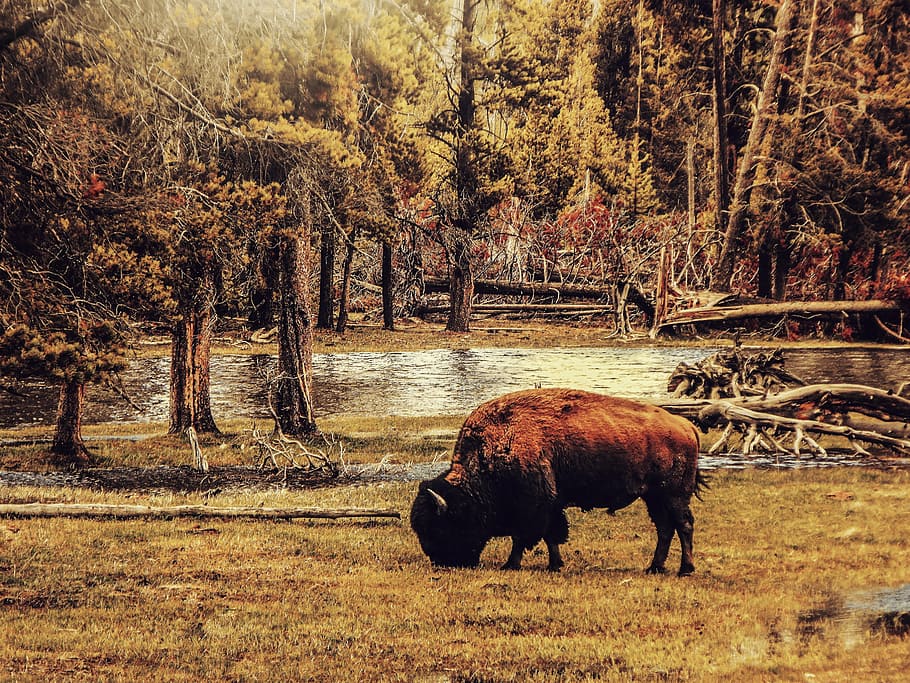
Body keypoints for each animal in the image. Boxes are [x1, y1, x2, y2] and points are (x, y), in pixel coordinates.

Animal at [410, 388, 704, 575]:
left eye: (439, 527)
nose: (441, 561)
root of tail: (686, 425)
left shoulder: (533, 507)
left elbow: (525, 537)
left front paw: (511, 564)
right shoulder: (550, 506)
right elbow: (551, 536)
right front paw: (555, 565)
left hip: (674, 495)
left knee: (683, 525)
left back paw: (685, 569)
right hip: (654, 496)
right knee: (665, 528)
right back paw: (655, 567)